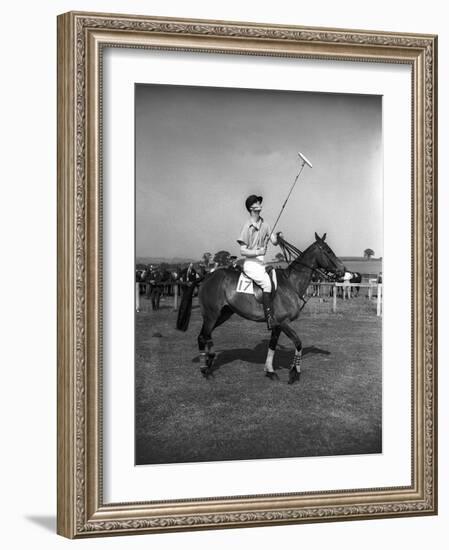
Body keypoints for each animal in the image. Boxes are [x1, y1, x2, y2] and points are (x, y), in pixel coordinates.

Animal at [175, 235, 344, 386]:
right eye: (328, 251)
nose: (343, 270)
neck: (291, 284)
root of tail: (206, 277)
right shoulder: (283, 322)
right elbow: (298, 343)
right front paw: (294, 373)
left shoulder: (276, 325)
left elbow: (272, 346)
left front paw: (270, 371)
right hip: (211, 315)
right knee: (202, 336)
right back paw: (205, 369)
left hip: (224, 314)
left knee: (207, 335)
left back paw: (209, 359)